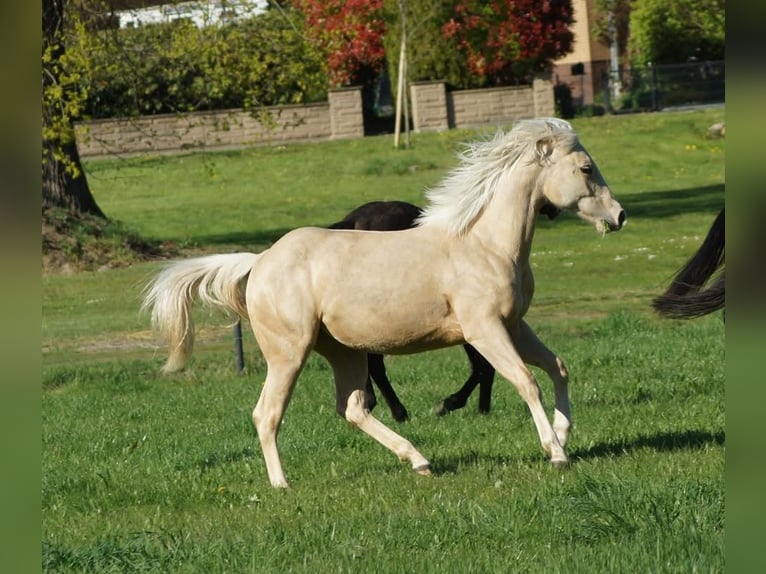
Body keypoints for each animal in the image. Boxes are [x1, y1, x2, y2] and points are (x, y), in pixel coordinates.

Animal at [329, 199, 563, 421]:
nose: (556, 208)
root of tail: (353, 220)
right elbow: (483, 366)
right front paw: (455, 404)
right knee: (375, 364)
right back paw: (396, 410)